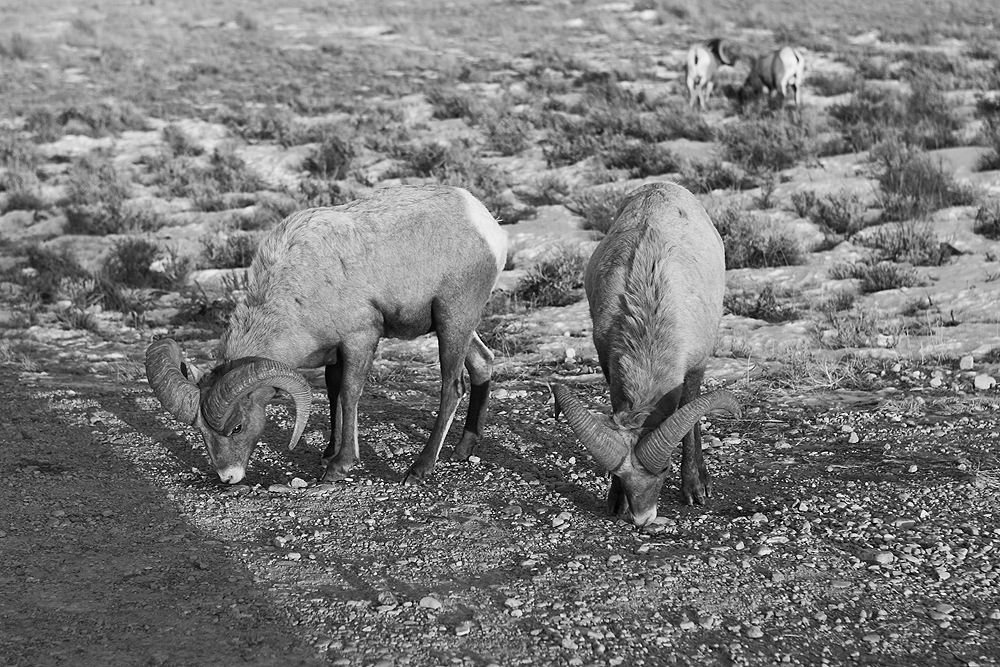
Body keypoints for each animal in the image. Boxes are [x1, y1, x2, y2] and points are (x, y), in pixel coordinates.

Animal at [146, 185, 508, 488]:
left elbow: (349, 394)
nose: (227, 477)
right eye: (202, 433)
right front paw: (328, 454)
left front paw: (338, 466)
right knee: (482, 362)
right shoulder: (334, 354)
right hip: (459, 327)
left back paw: (419, 469)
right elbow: (333, 394)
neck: (300, 285)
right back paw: (462, 449)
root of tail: (487, 225)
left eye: (236, 427)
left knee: (453, 387)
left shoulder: (360, 340)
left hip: (452, 321)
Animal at [552, 181, 740, 528]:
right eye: (619, 474)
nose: (642, 518)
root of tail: (661, 186)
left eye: (664, 469)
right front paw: (614, 502)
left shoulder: (695, 365)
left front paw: (695, 489)